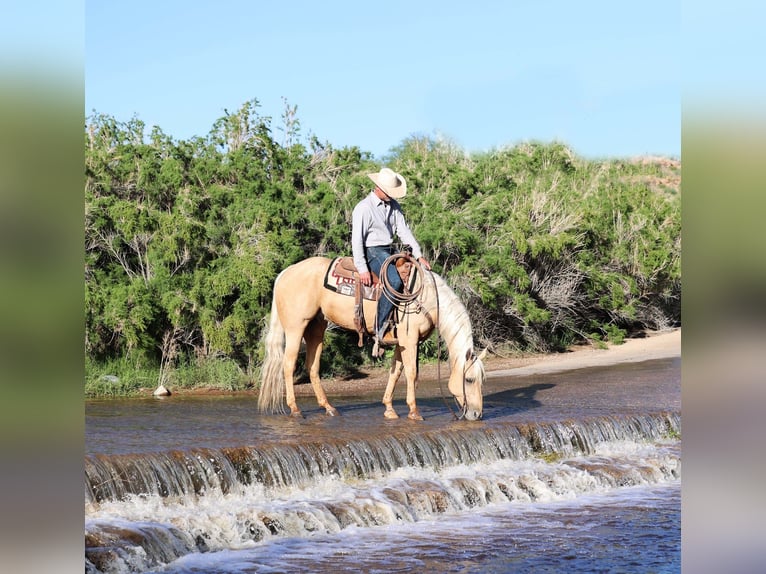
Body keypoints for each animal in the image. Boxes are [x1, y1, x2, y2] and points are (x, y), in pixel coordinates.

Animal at [257, 256, 485, 421]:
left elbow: (395, 372)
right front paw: (414, 412)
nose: (476, 414)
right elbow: (412, 374)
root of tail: (285, 273)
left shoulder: (402, 343)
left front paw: (389, 409)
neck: (427, 297)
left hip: (316, 328)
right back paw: (295, 409)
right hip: (295, 327)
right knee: (288, 365)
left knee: (312, 366)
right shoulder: (410, 340)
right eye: (469, 379)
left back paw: (329, 408)